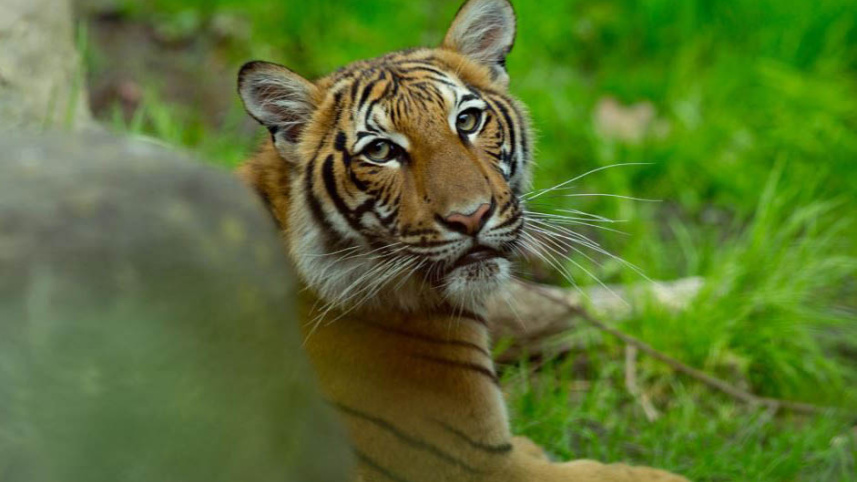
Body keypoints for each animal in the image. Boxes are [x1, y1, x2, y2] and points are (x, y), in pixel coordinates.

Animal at [235, 0, 689, 480]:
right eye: (380, 151)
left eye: (467, 121)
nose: (471, 217)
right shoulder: (472, 461)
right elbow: (618, 473)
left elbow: (563, 306)